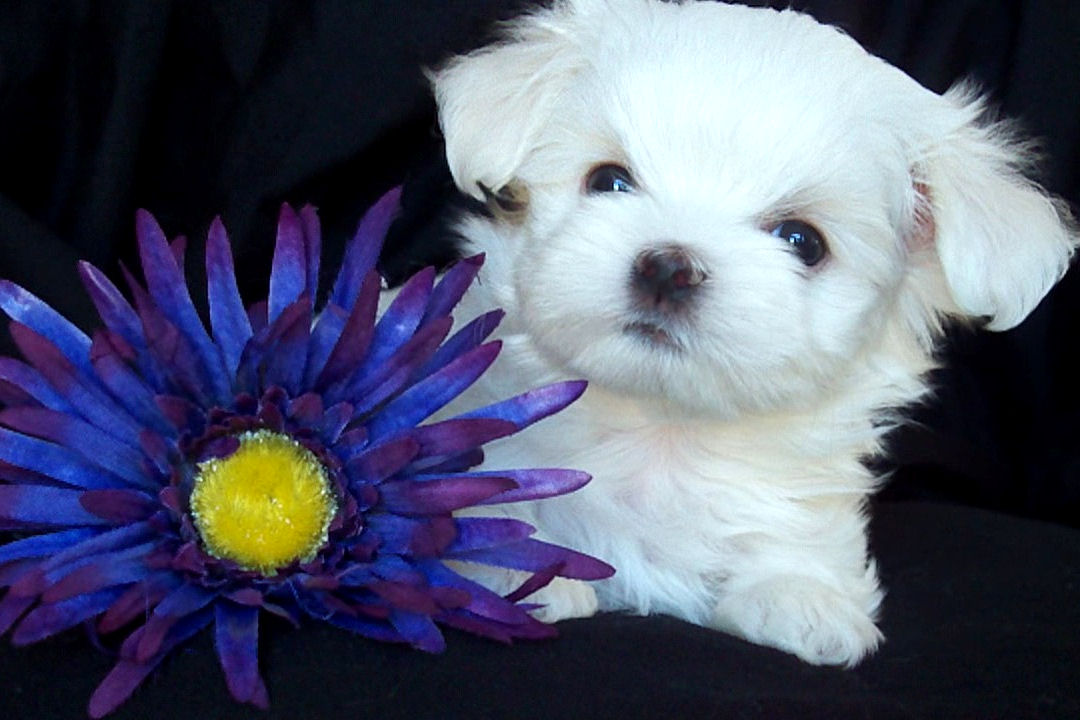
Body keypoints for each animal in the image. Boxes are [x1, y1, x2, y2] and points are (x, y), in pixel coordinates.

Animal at [419, 0, 1071, 669]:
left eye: (802, 241)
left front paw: (802, 596)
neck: (661, 433)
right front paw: (504, 564)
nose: (669, 267)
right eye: (608, 181)